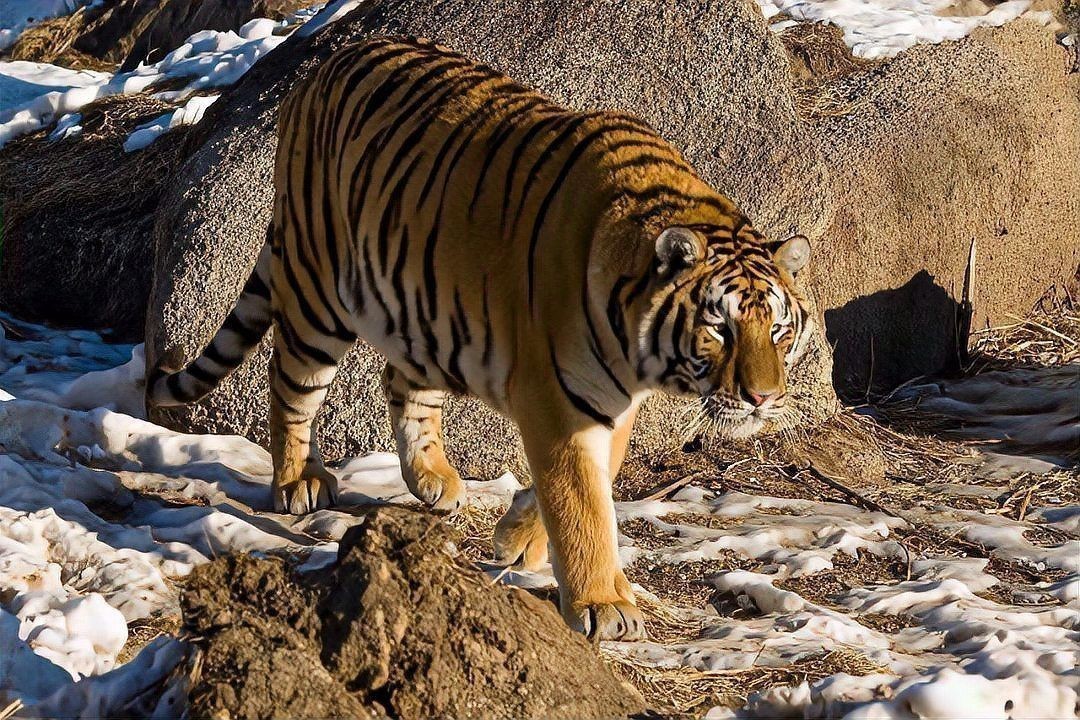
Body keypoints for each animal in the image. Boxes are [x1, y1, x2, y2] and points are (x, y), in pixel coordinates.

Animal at [147, 36, 815, 640]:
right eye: (720, 327)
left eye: (780, 331)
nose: (763, 399)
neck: (639, 352)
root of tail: (322, 66)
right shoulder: (558, 397)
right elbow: (581, 498)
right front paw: (604, 603)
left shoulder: (608, 402)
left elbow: (589, 482)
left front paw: (520, 540)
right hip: (319, 290)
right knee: (289, 382)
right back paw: (297, 482)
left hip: (418, 301)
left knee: (401, 381)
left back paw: (433, 479)